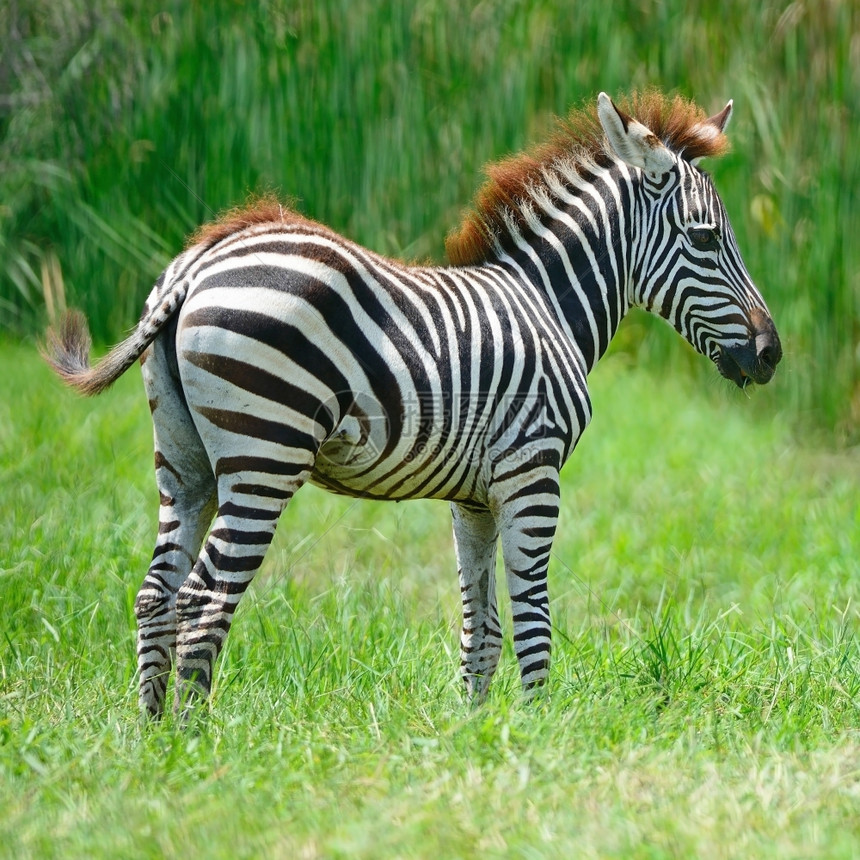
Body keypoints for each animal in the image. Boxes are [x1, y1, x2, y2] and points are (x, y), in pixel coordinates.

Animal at [45, 90, 780, 716]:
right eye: (706, 238)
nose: (772, 353)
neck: (547, 303)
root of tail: (199, 259)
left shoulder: (475, 497)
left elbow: (481, 628)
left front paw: (478, 733)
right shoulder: (533, 474)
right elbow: (533, 619)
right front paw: (539, 732)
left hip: (184, 459)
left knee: (157, 594)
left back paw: (153, 736)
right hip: (265, 454)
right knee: (202, 601)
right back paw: (196, 741)